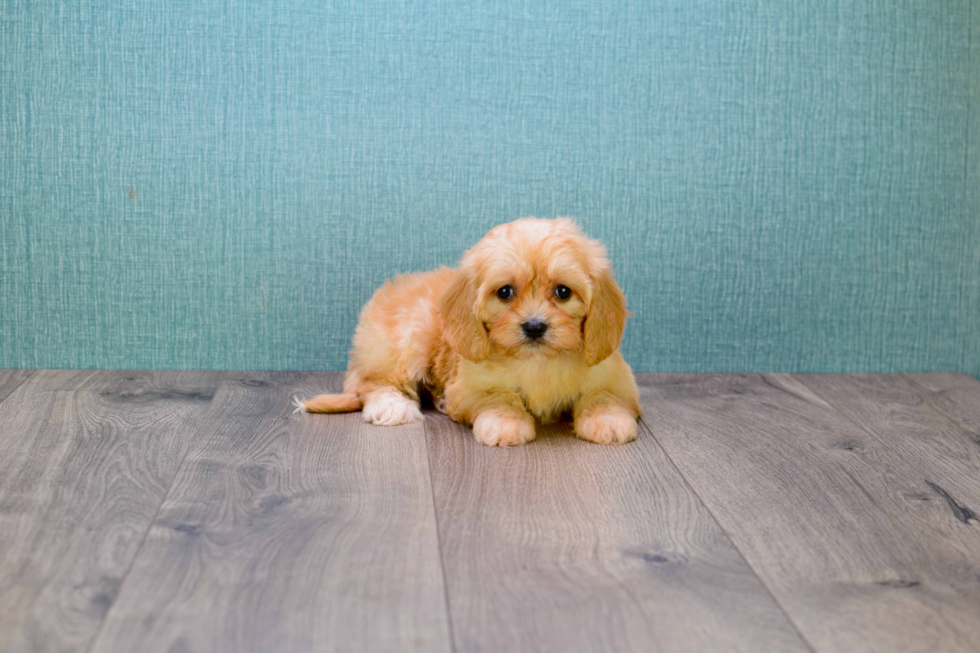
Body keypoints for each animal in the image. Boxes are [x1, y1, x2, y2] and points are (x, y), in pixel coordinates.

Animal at [294, 216, 640, 446]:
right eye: (504, 292)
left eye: (563, 292)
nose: (534, 326)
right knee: (373, 383)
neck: (538, 362)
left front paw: (608, 421)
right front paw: (505, 424)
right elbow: (498, 396)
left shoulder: (616, 378)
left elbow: (604, 395)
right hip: (405, 341)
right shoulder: (472, 385)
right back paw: (392, 406)